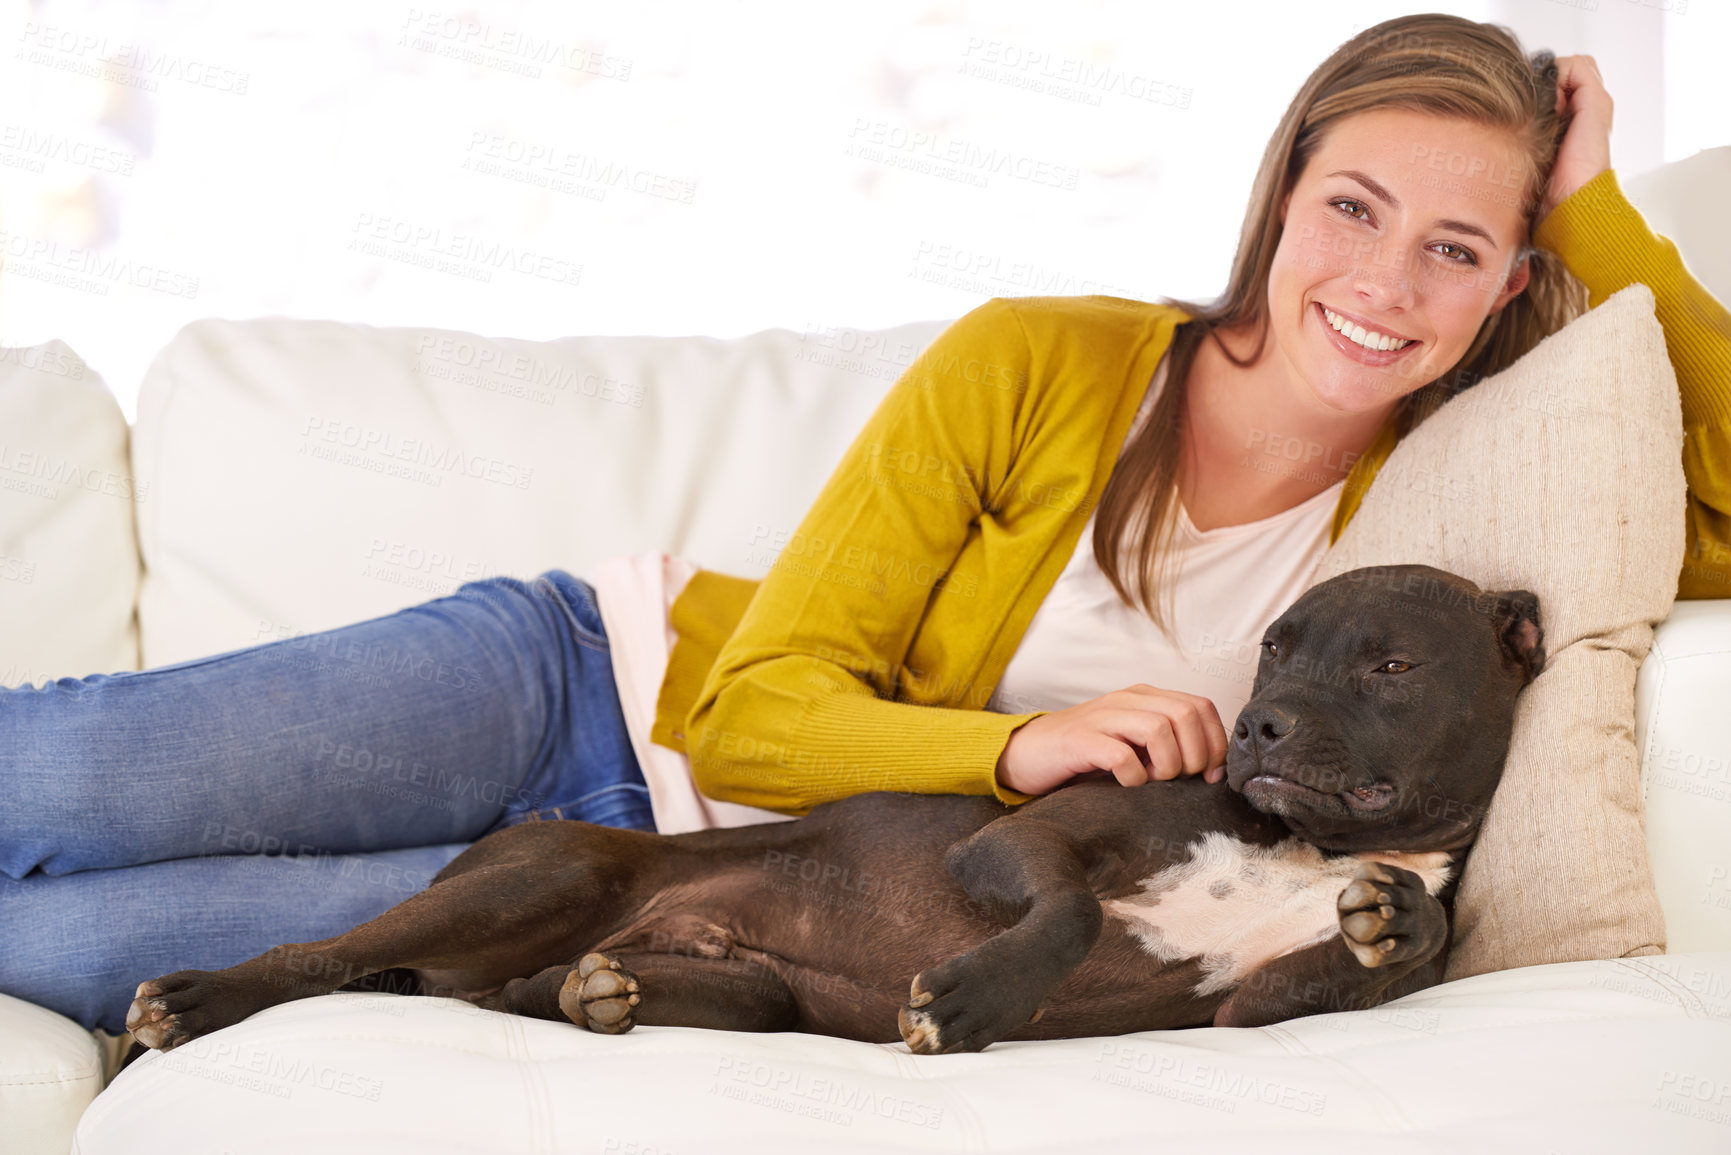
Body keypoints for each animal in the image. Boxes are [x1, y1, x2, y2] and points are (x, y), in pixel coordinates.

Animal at [128, 561, 1550, 1059]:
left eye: (1391, 665)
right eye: (1273, 651)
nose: (1256, 724)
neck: (1302, 845)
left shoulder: (1251, 1009)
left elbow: (1372, 950)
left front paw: (1398, 919)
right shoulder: (1016, 837)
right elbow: (1073, 913)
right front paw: (969, 1001)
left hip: (748, 988)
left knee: (546, 994)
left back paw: (596, 996)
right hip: (537, 878)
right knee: (318, 955)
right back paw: (191, 1003)